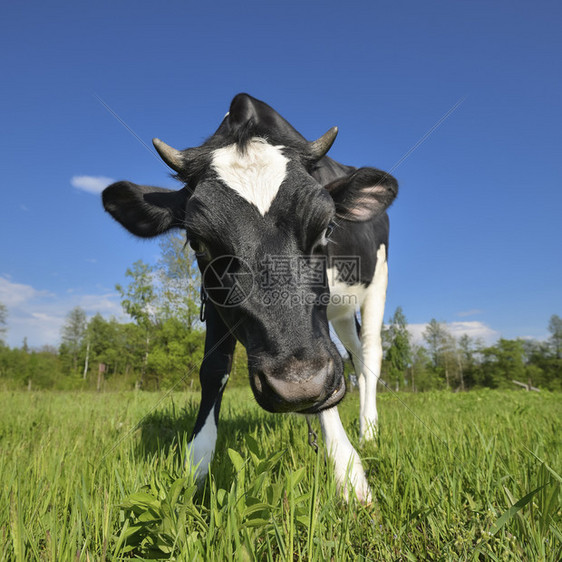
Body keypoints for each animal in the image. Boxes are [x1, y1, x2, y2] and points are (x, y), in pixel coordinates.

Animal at [101, 94, 398, 500]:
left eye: (327, 228)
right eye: (199, 243)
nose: (295, 385)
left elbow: (327, 384)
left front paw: (350, 476)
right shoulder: (213, 303)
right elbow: (213, 370)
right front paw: (195, 468)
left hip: (376, 285)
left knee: (369, 354)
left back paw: (369, 431)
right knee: (354, 356)